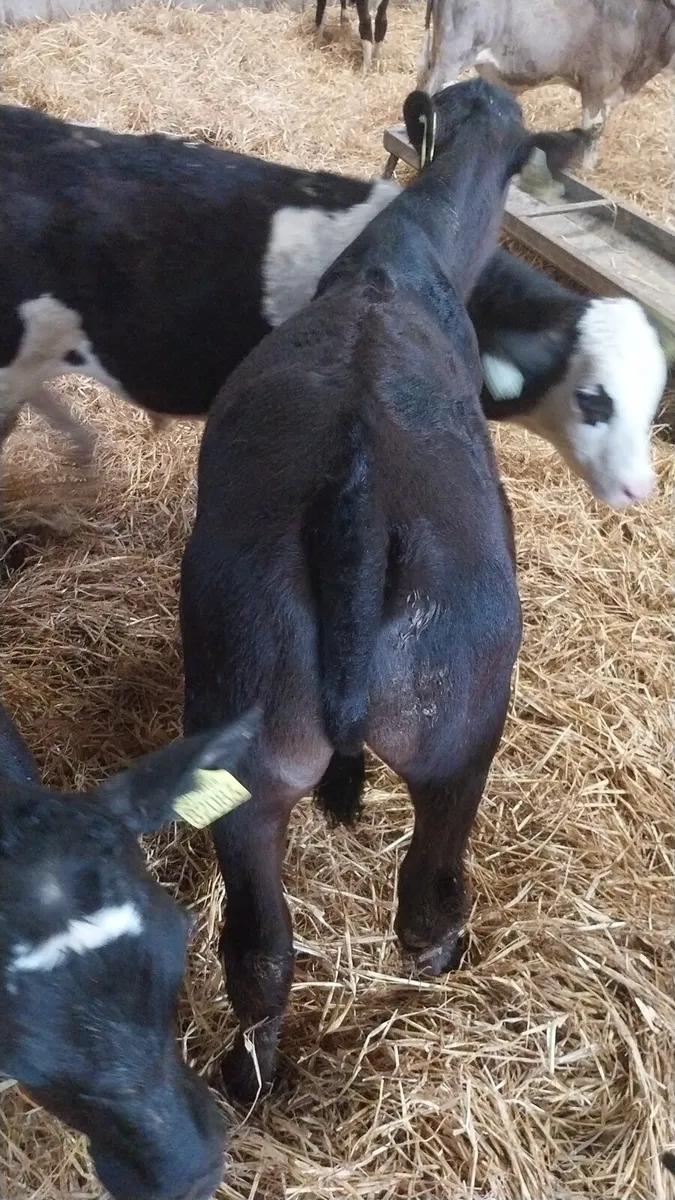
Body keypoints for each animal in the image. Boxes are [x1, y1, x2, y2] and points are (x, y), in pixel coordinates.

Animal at [178, 80, 587, 1106]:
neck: (404, 260)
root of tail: (353, 498)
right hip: (462, 737)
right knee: (422, 912)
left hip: (249, 761)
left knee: (260, 957)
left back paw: (249, 1080)